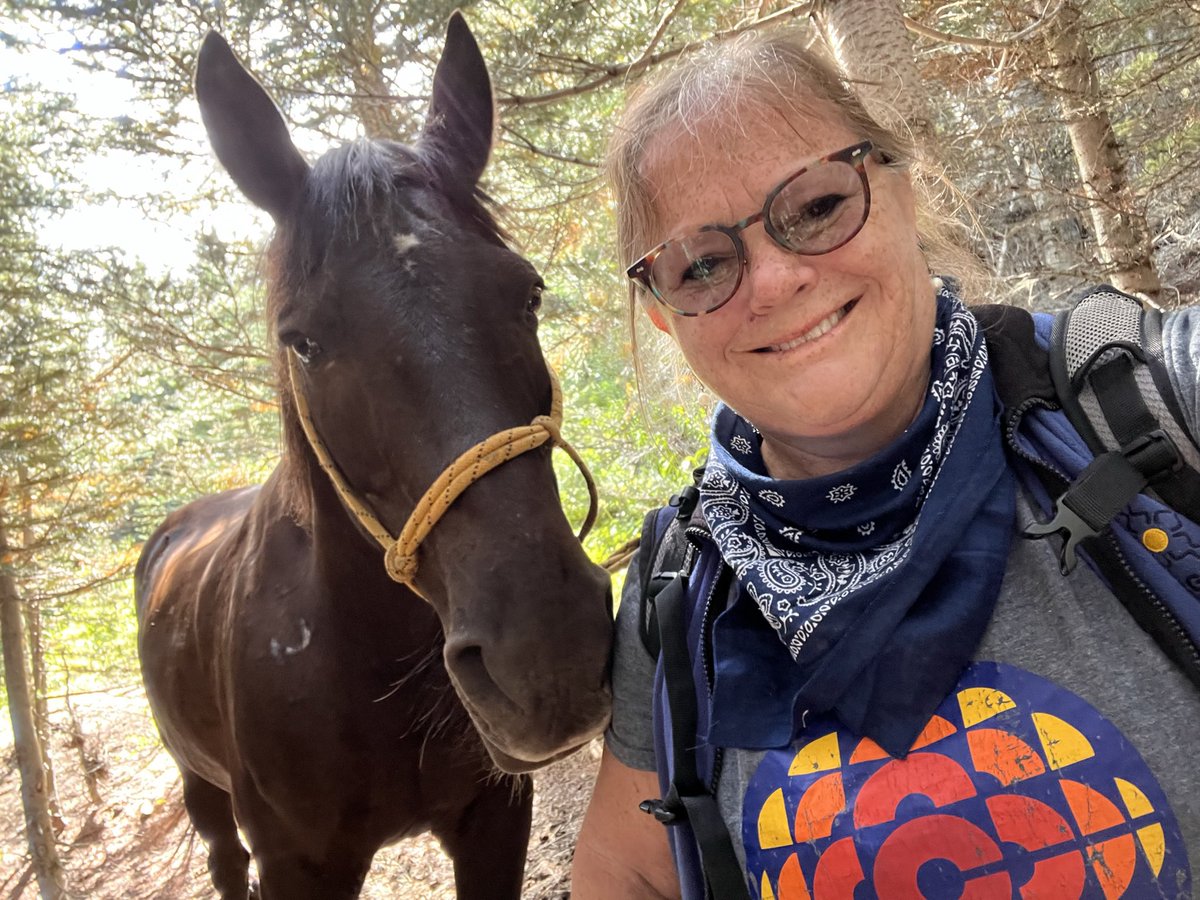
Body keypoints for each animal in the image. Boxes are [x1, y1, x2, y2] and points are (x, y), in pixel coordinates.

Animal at [134, 15, 613, 899]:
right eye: (304, 342)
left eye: (527, 292)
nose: (548, 657)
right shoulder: (296, 864)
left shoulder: (496, 820)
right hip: (198, 791)